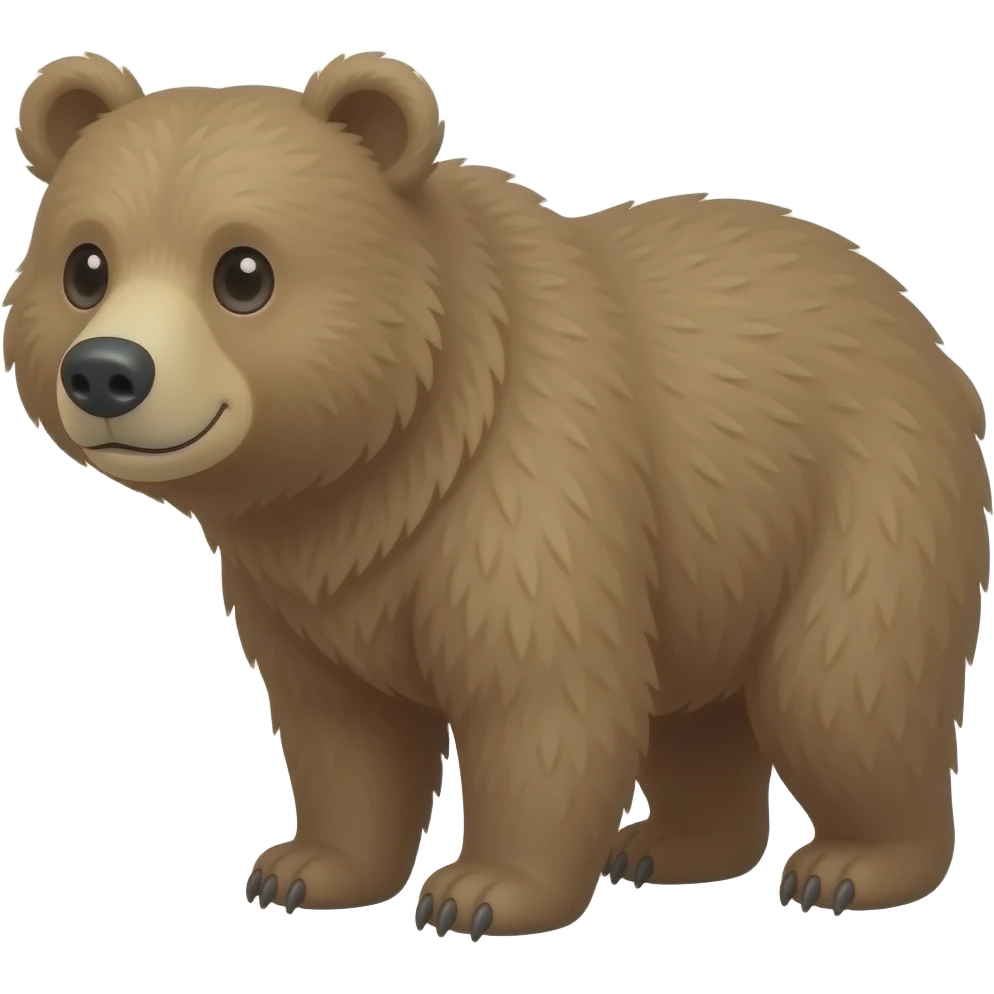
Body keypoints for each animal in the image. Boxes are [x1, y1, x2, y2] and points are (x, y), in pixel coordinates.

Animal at [4, 49, 990, 937]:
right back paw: (667, 846)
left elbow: (543, 694)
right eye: (84, 264)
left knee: (838, 686)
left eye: (243, 271)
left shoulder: (530, 488)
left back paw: (849, 864)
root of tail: (920, 325)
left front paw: (479, 891)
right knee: (698, 714)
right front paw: (303, 868)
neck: (382, 471)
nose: (106, 371)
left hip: (871, 495)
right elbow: (342, 727)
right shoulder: (302, 584)